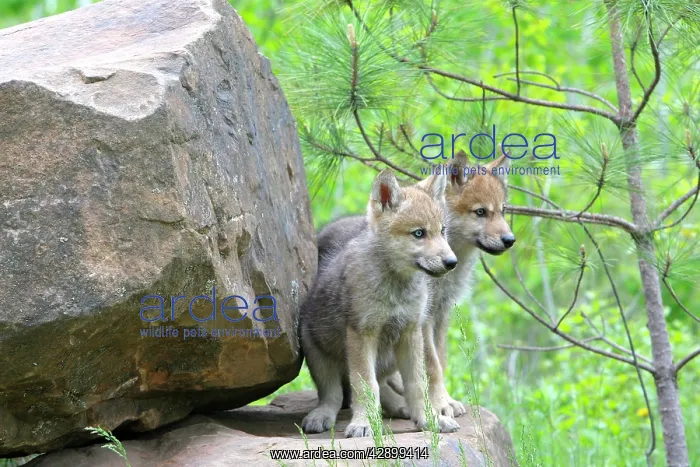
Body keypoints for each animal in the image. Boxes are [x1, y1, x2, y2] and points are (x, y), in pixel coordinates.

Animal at [300, 169, 460, 438]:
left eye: (442, 231)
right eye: (419, 233)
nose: (452, 262)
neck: (395, 287)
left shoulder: (410, 332)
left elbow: (417, 385)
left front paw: (429, 420)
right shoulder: (362, 334)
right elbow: (365, 385)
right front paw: (363, 423)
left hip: (390, 356)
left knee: (383, 384)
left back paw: (400, 407)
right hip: (318, 353)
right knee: (333, 395)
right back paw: (322, 416)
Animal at [316, 150, 515, 418]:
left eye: (503, 211)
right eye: (480, 212)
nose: (510, 240)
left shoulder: (441, 314)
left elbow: (440, 361)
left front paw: (444, 401)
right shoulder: (423, 319)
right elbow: (432, 366)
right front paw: (441, 404)